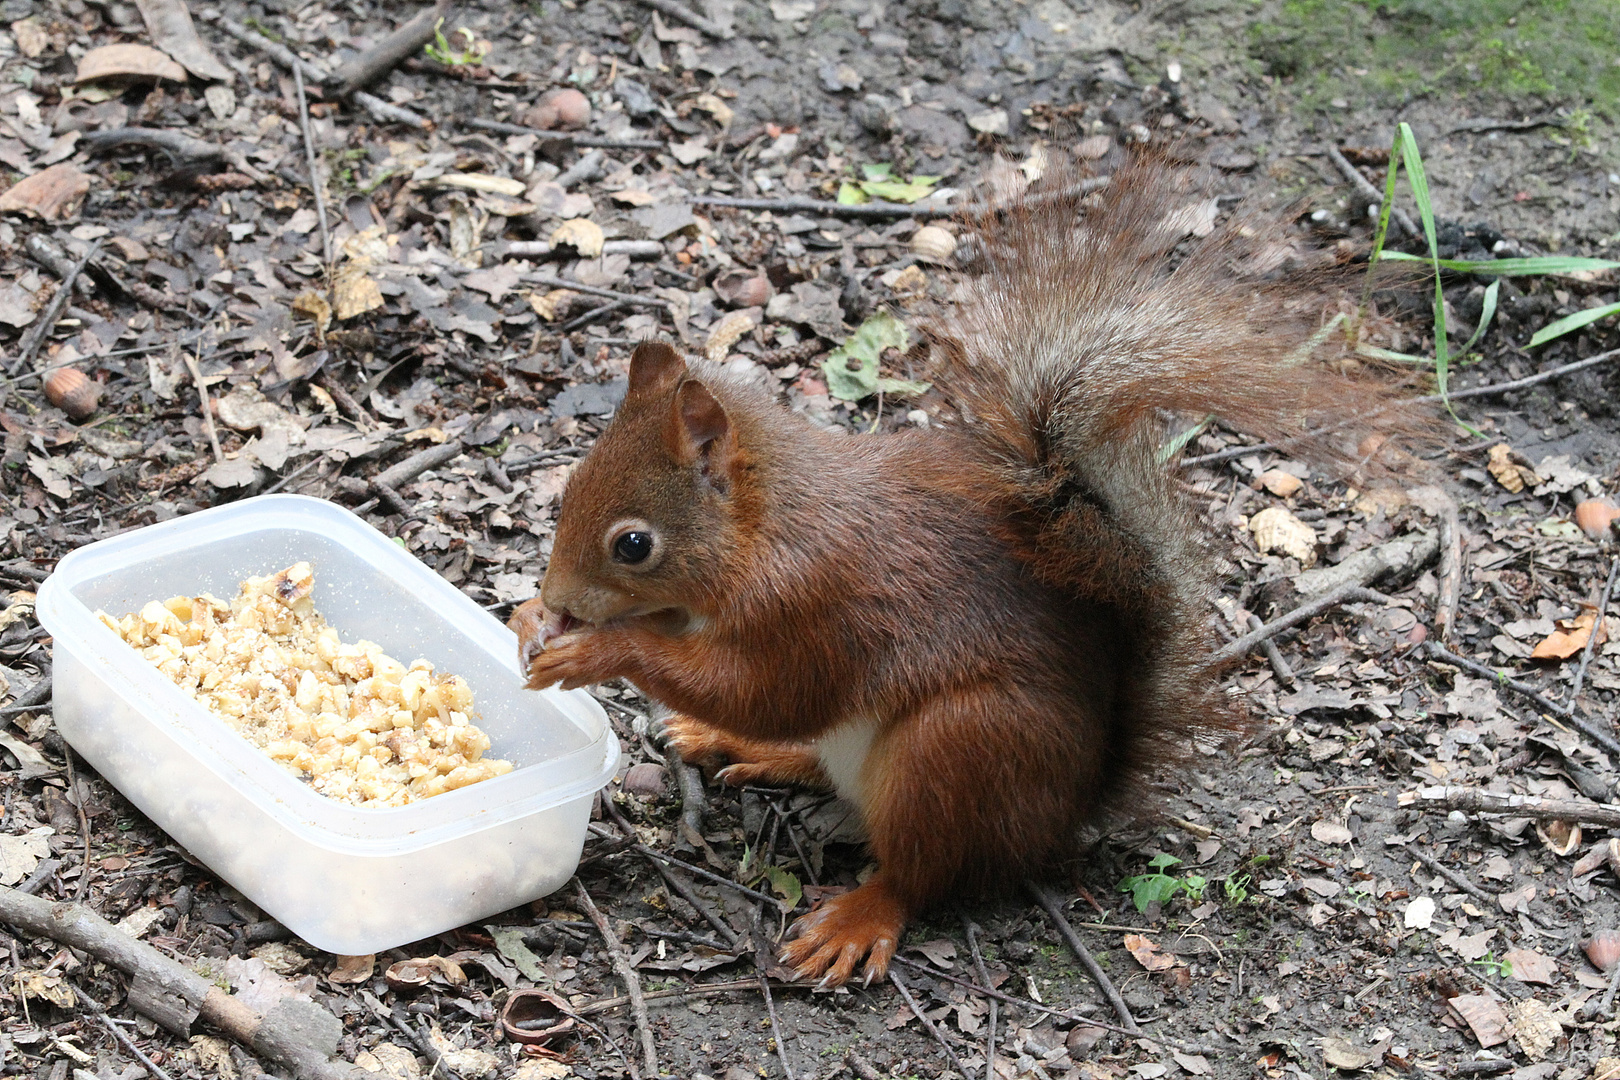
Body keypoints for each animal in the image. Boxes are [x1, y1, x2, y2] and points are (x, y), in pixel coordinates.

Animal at [508, 153, 1419, 990]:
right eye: (570, 489)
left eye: (633, 544)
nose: (557, 597)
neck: (764, 529)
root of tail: (1068, 813)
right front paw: (528, 621)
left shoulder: (818, 603)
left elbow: (765, 689)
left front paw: (597, 651)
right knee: (818, 762)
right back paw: (740, 748)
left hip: (957, 750)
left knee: (921, 871)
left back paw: (858, 916)